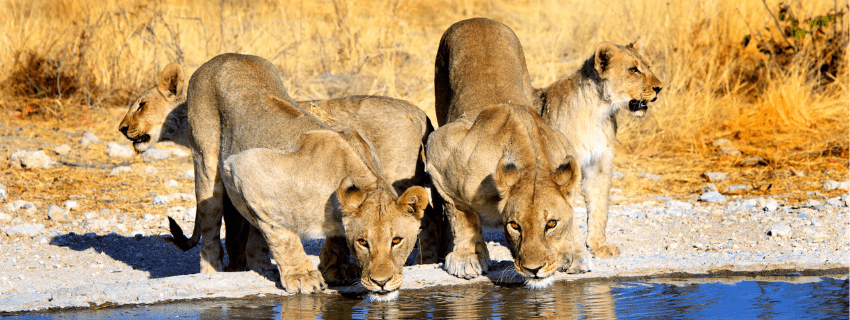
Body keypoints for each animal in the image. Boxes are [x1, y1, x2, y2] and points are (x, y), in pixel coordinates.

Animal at [119, 53, 430, 298]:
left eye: (397, 240)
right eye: (363, 242)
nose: (381, 282)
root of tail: (224, 56)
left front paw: (335, 267)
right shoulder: (243, 166)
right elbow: (282, 233)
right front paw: (302, 276)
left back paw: (260, 267)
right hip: (207, 163)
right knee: (211, 226)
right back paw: (215, 272)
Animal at [428, 16, 588, 288]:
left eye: (551, 224)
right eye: (514, 225)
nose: (534, 269)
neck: (531, 164)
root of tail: (477, 18)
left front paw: (572, 251)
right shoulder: (439, 152)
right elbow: (461, 214)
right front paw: (467, 257)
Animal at [528, 41, 664, 258]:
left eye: (648, 66)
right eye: (633, 70)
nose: (659, 88)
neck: (598, 112)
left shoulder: (598, 165)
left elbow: (599, 207)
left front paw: (599, 246)